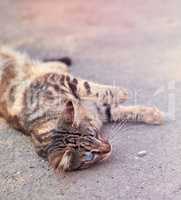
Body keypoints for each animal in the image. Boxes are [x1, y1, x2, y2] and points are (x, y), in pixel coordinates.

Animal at [0, 47, 164, 172]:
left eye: (93, 134)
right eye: (90, 156)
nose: (108, 148)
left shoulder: (58, 81)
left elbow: (91, 87)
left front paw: (124, 94)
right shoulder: (101, 111)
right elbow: (115, 109)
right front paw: (150, 113)